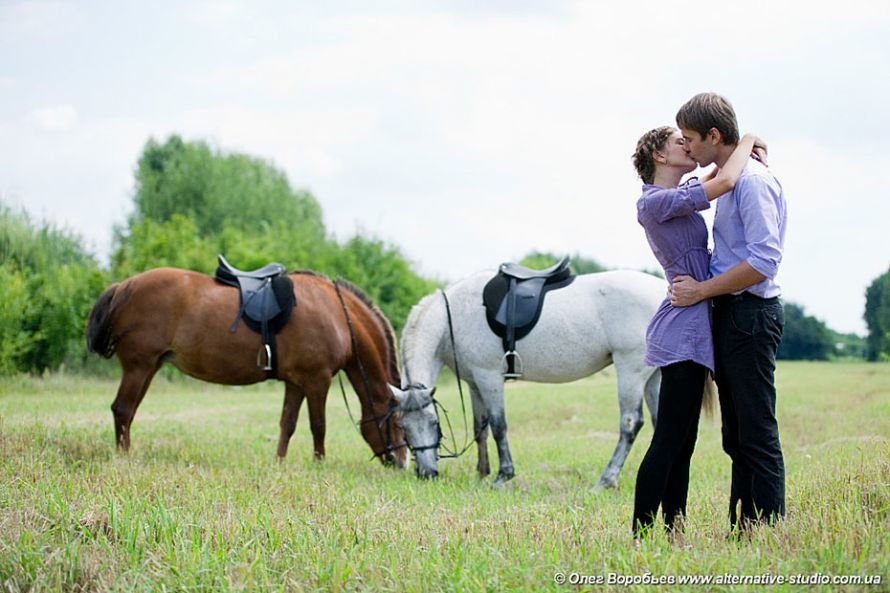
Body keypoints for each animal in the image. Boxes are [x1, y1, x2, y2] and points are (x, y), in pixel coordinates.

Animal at [86, 264, 406, 468]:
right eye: (398, 423)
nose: (402, 463)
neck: (338, 315)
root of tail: (124, 287)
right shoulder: (318, 380)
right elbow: (319, 426)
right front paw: (319, 465)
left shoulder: (296, 382)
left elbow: (288, 423)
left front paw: (279, 463)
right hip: (139, 366)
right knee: (123, 409)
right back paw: (124, 459)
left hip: (149, 367)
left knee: (127, 412)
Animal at [392, 268, 664, 486]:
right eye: (403, 427)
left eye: (433, 422)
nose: (427, 473)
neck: (454, 316)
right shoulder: (474, 383)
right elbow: (480, 428)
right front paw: (482, 473)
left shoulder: (489, 377)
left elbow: (498, 425)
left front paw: (503, 476)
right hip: (653, 375)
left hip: (631, 369)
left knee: (630, 423)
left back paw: (606, 480)